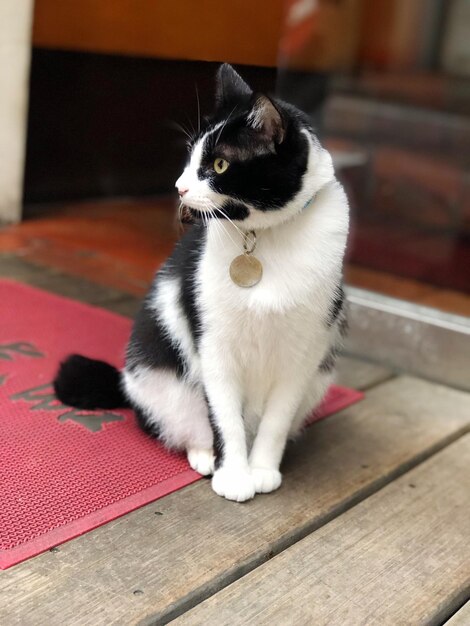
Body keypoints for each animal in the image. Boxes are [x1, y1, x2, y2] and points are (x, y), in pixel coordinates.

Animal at [55, 63, 348, 502]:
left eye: (221, 165)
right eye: (191, 157)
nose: (179, 186)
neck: (264, 238)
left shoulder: (304, 352)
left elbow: (277, 419)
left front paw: (262, 468)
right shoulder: (213, 342)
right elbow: (223, 415)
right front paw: (234, 474)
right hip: (160, 380)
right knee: (176, 421)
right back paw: (204, 455)